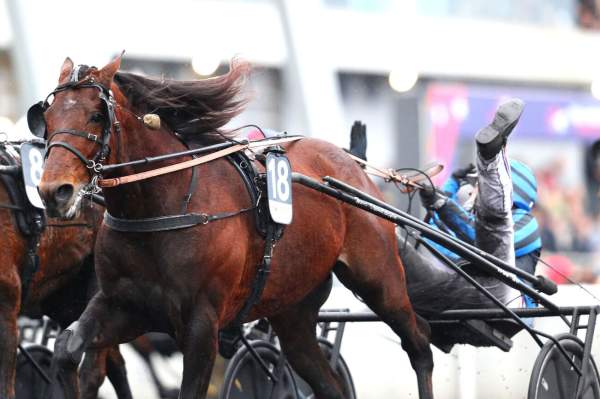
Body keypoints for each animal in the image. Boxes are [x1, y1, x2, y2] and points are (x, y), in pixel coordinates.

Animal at [38, 56, 436, 399]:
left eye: (95, 116)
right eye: (48, 116)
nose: (54, 190)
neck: (159, 207)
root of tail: (352, 163)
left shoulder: (201, 326)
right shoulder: (123, 305)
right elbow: (66, 348)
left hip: (379, 277)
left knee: (420, 342)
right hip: (293, 310)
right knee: (324, 379)